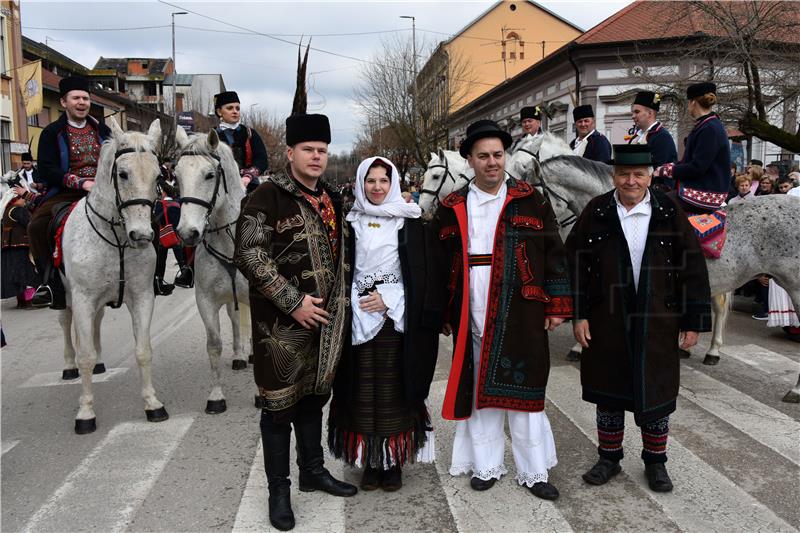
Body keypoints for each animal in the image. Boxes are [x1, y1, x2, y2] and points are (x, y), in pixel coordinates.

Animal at [62, 117, 169, 432]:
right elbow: (84, 354)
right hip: (67, 298)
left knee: (96, 324)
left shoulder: (142, 296)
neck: (116, 238)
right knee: (66, 325)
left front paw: (152, 404)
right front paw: (86, 413)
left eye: (158, 177)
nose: (142, 235)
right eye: (122, 174)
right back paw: (69, 366)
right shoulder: (83, 298)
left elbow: (143, 350)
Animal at [173, 127, 252, 414]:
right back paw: (239, 356)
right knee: (234, 318)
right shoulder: (205, 300)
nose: (188, 233)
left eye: (209, 175)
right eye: (176, 176)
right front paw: (216, 396)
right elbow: (214, 344)